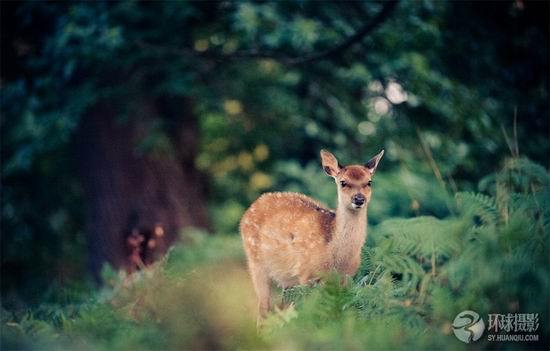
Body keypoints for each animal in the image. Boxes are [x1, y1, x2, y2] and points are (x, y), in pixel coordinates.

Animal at [239, 150, 386, 320]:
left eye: (369, 182)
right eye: (343, 182)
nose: (359, 199)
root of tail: (249, 210)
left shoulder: (345, 278)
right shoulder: (306, 274)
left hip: (287, 281)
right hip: (256, 263)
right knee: (264, 308)